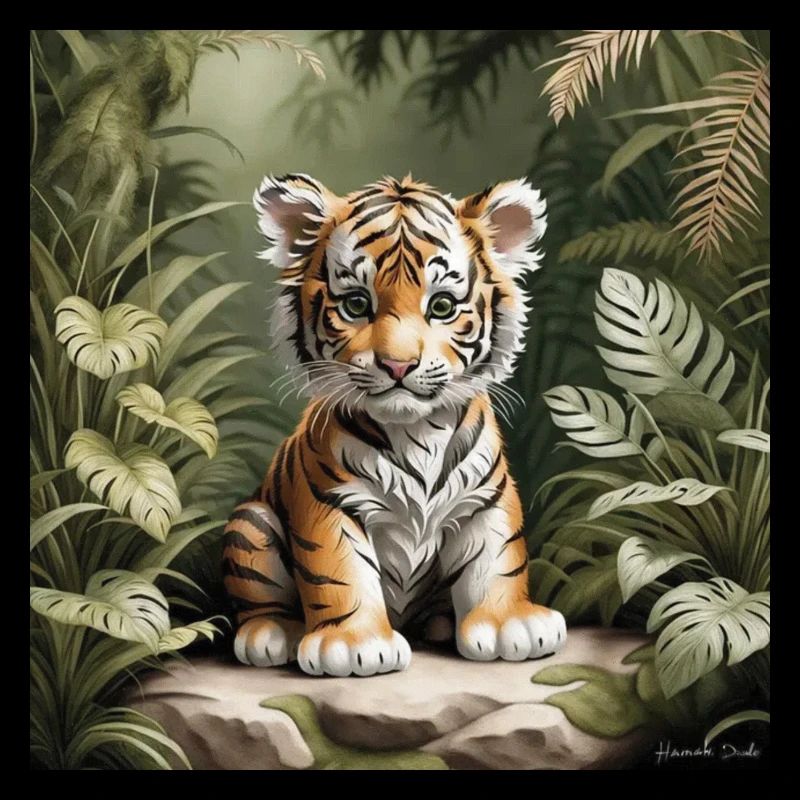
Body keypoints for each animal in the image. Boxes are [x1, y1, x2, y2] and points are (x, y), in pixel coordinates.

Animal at [222, 172, 567, 677]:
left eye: (441, 306)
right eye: (355, 304)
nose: (398, 365)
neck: (416, 434)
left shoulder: (487, 497)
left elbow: (499, 557)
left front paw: (510, 625)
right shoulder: (329, 501)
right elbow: (339, 571)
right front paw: (352, 645)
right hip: (251, 523)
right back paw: (271, 633)